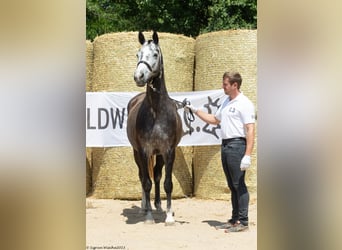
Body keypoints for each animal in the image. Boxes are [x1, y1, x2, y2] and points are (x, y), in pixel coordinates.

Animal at [126, 30, 184, 225]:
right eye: (137, 54)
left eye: (155, 54)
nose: (139, 77)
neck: (157, 111)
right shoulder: (144, 151)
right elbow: (146, 182)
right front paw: (149, 217)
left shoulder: (168, 151)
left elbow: (167, 183)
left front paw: (169, 216)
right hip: (137, 153)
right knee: (143, 176)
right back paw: (145, 207)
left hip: (158, 154)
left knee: (157, 175)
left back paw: (158, 205)